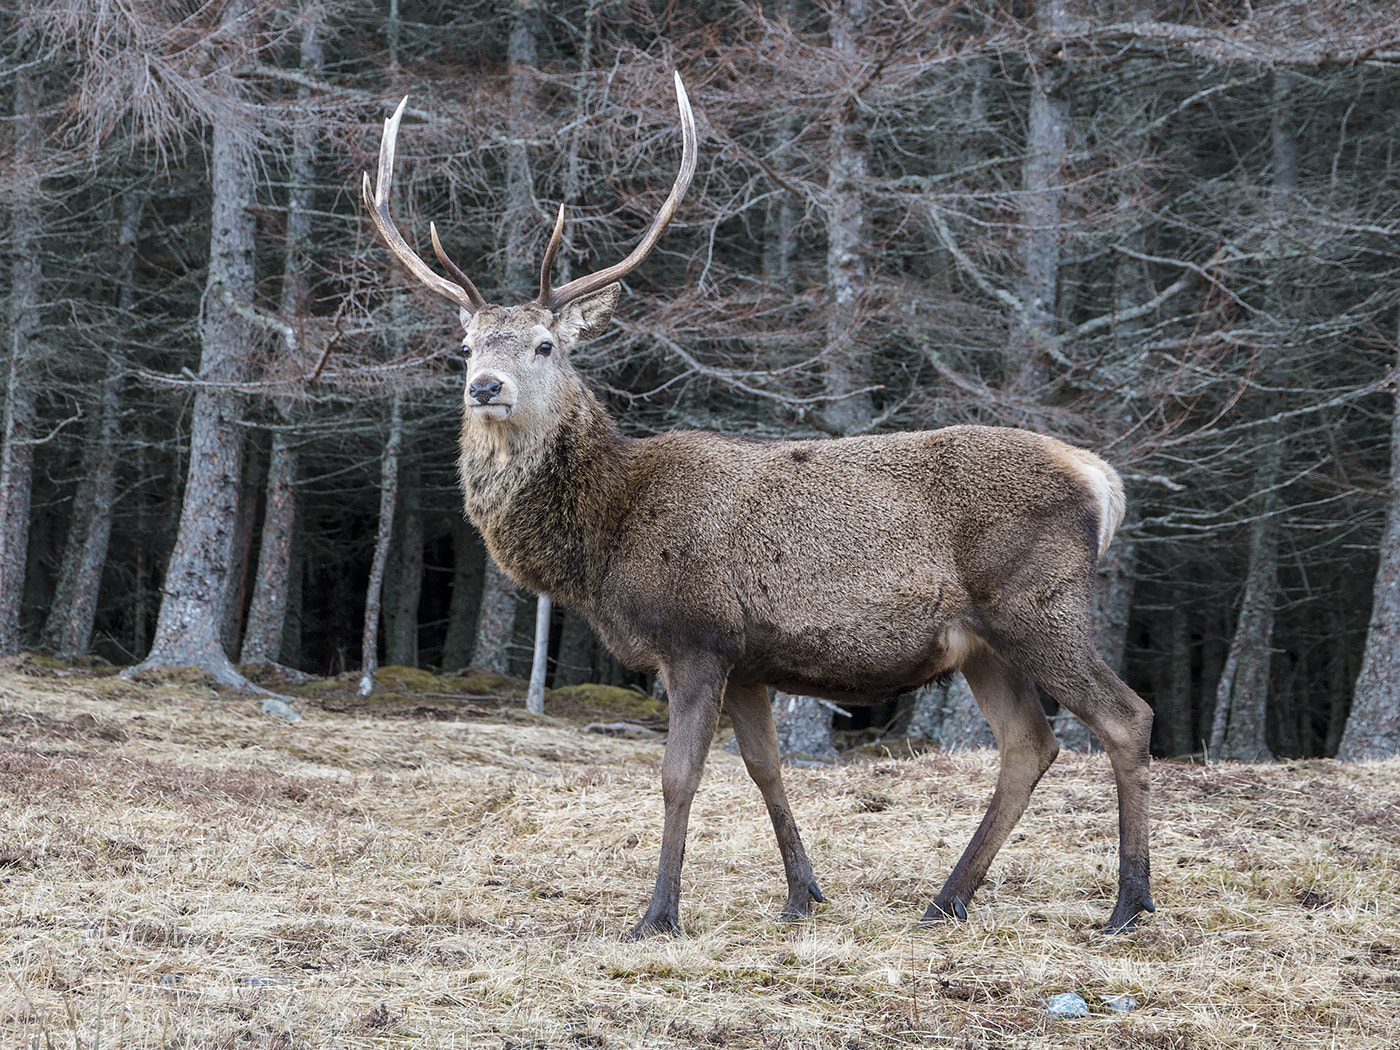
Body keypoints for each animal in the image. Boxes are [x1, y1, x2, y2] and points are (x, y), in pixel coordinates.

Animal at [362, 74, 1155, 938]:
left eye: (546, 345)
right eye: (468, 344)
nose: (486, 387)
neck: (604, 537)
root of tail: (1102, 480)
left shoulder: (694, 636)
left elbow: (679, 777)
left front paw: (658, 914)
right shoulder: (747, 659)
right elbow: (765, 769)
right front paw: (802, 894)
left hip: (1038, 605)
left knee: (1125, 716)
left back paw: (1128, 903)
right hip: (983, 642)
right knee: (1029, 745)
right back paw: (947, 899)